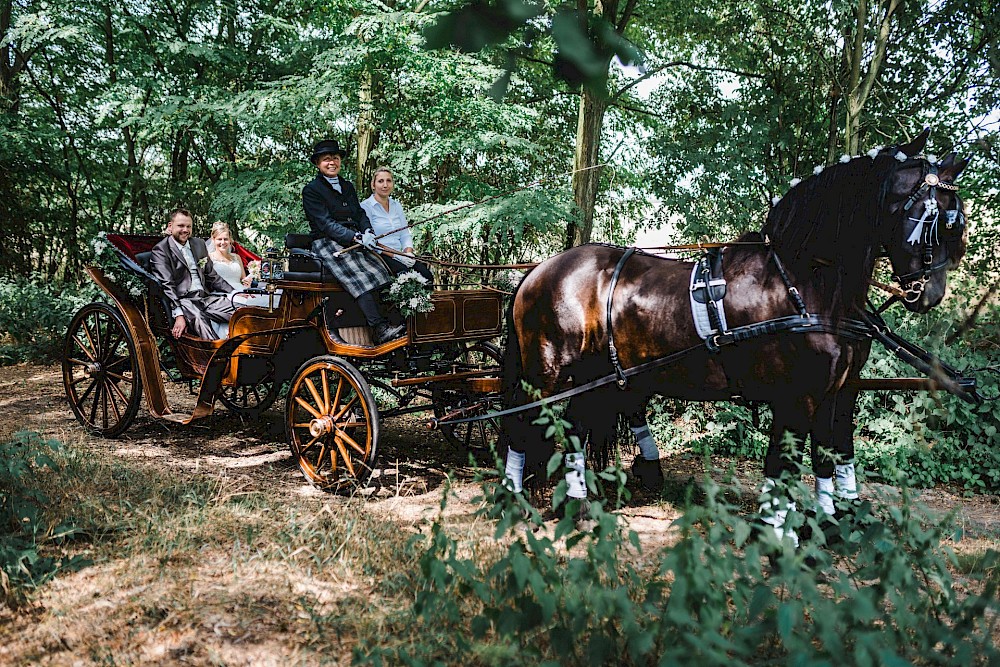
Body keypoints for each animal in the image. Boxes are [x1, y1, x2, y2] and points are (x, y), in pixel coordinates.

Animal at [504, 129, 972, 532]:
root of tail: (538, 271)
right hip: (546, 376)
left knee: (574, 431)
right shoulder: (797, 395)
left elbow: (832, 452)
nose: (929, 293)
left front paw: (833, 521)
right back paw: (515, 501)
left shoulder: (840, 390)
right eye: (936, 217)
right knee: (523, 427)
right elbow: (782, 463)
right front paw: (776, 531)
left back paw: (578, 505)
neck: (802, 282)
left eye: (957, 219)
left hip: (592, 377)